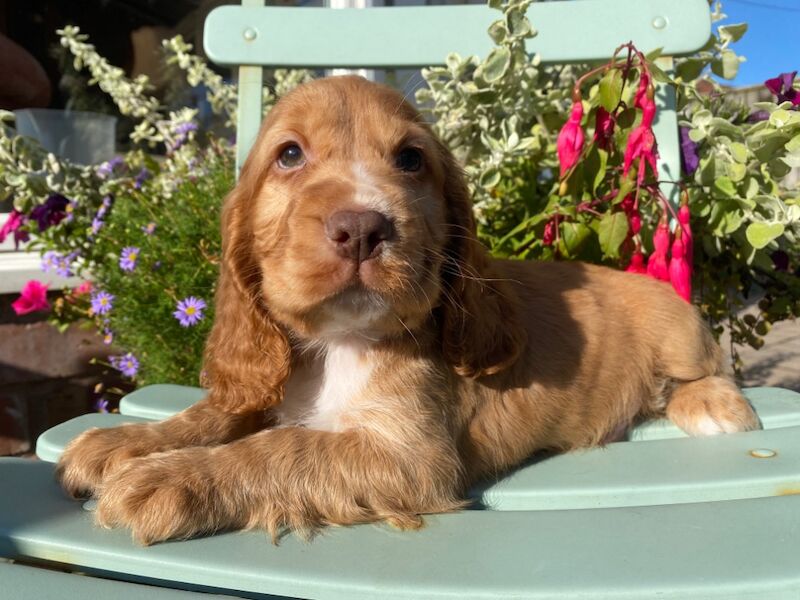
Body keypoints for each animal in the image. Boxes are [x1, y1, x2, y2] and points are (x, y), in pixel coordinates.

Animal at [54, 75, 756, 544]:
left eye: (411, 160)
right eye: (289, 154)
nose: (363, 228)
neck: (336, 344)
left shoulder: (412, 457)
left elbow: (280, 447)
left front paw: (168, 480)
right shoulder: (270, 383)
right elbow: (220, 413)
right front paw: (128, 442)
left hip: (681, 330)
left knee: (711, 368)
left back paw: (716, 407)